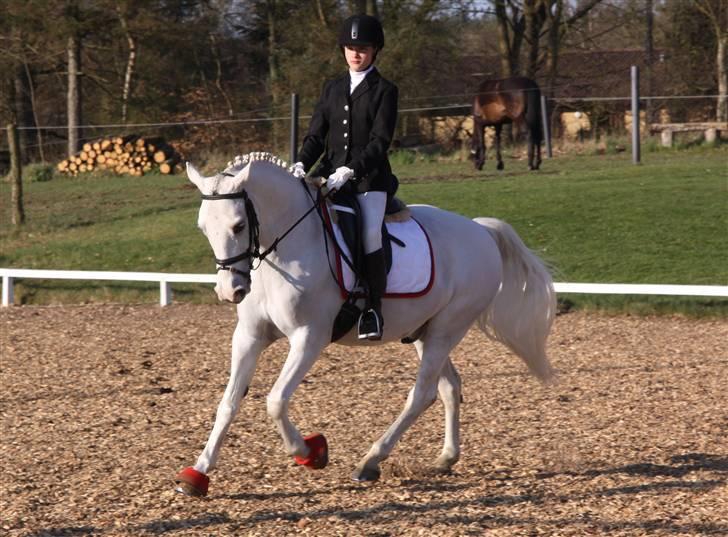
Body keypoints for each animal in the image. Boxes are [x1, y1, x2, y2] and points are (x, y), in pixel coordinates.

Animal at [176, 151, 556, 494]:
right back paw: (446, 457)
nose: (230, 291)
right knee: (448, 388)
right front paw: (198, 473)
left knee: (422, 394)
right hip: (426, 331)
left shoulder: (309, 337)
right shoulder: (249, 335)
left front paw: (311, 452)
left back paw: (370, 461)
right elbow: (228, 402)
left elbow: (276, 400)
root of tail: (480, 230)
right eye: (203, 228)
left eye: (239, 226)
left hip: (448, 327)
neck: (285, 249)